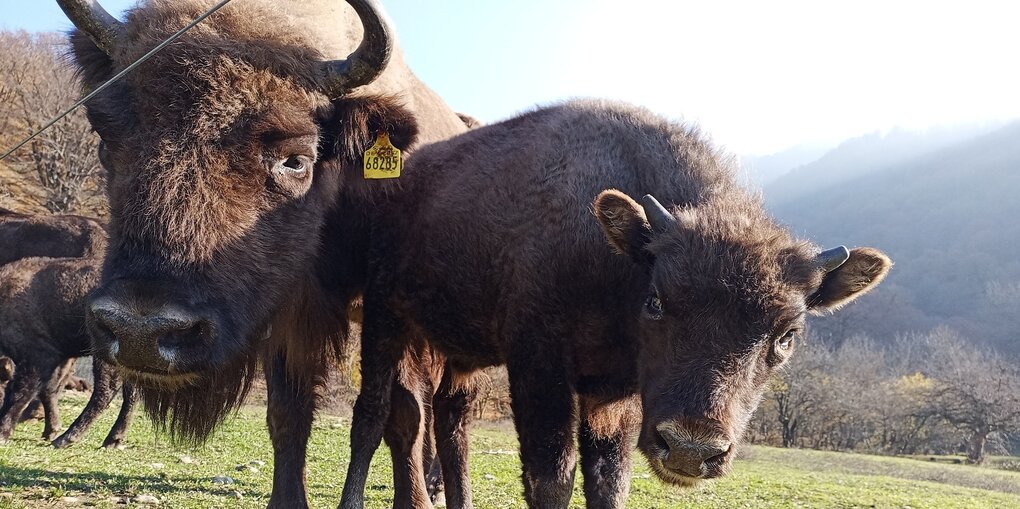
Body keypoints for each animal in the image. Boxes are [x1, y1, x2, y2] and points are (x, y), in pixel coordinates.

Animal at [63, 0, 469, 505]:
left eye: (296, 159)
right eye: (105, 143)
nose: (140, 331)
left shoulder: (389, 314)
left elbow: (398, 414)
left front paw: (411, 499)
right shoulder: (287, 308)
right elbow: (288, 413)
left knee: (449, 414)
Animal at [336, 100, 893, 509]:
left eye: (788, 335)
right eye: (657, 301)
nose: (690, 449)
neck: (619, 261)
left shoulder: (614, 395)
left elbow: (609, 482)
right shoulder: (541, 367)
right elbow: (552, 479)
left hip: (460, 354)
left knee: (452, 426)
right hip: (385, 318)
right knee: (374, 414)